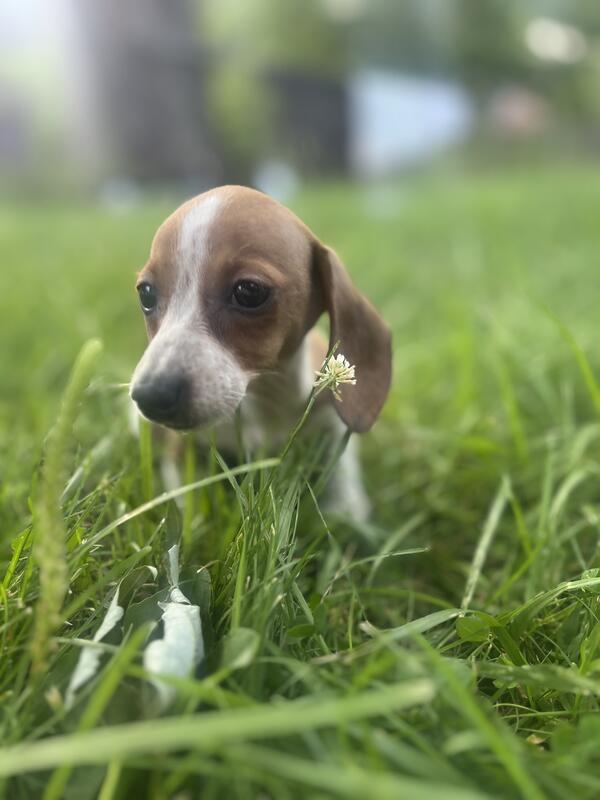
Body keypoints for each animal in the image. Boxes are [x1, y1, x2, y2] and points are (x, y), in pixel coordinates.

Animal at [130, 186, 391, 521]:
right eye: (146, 293)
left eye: (249, 291)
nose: (150, 395)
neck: (267, 399)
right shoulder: (182, 449)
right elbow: (183, 494)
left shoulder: (329, 419)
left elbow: (341, 467)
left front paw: (346, 510)